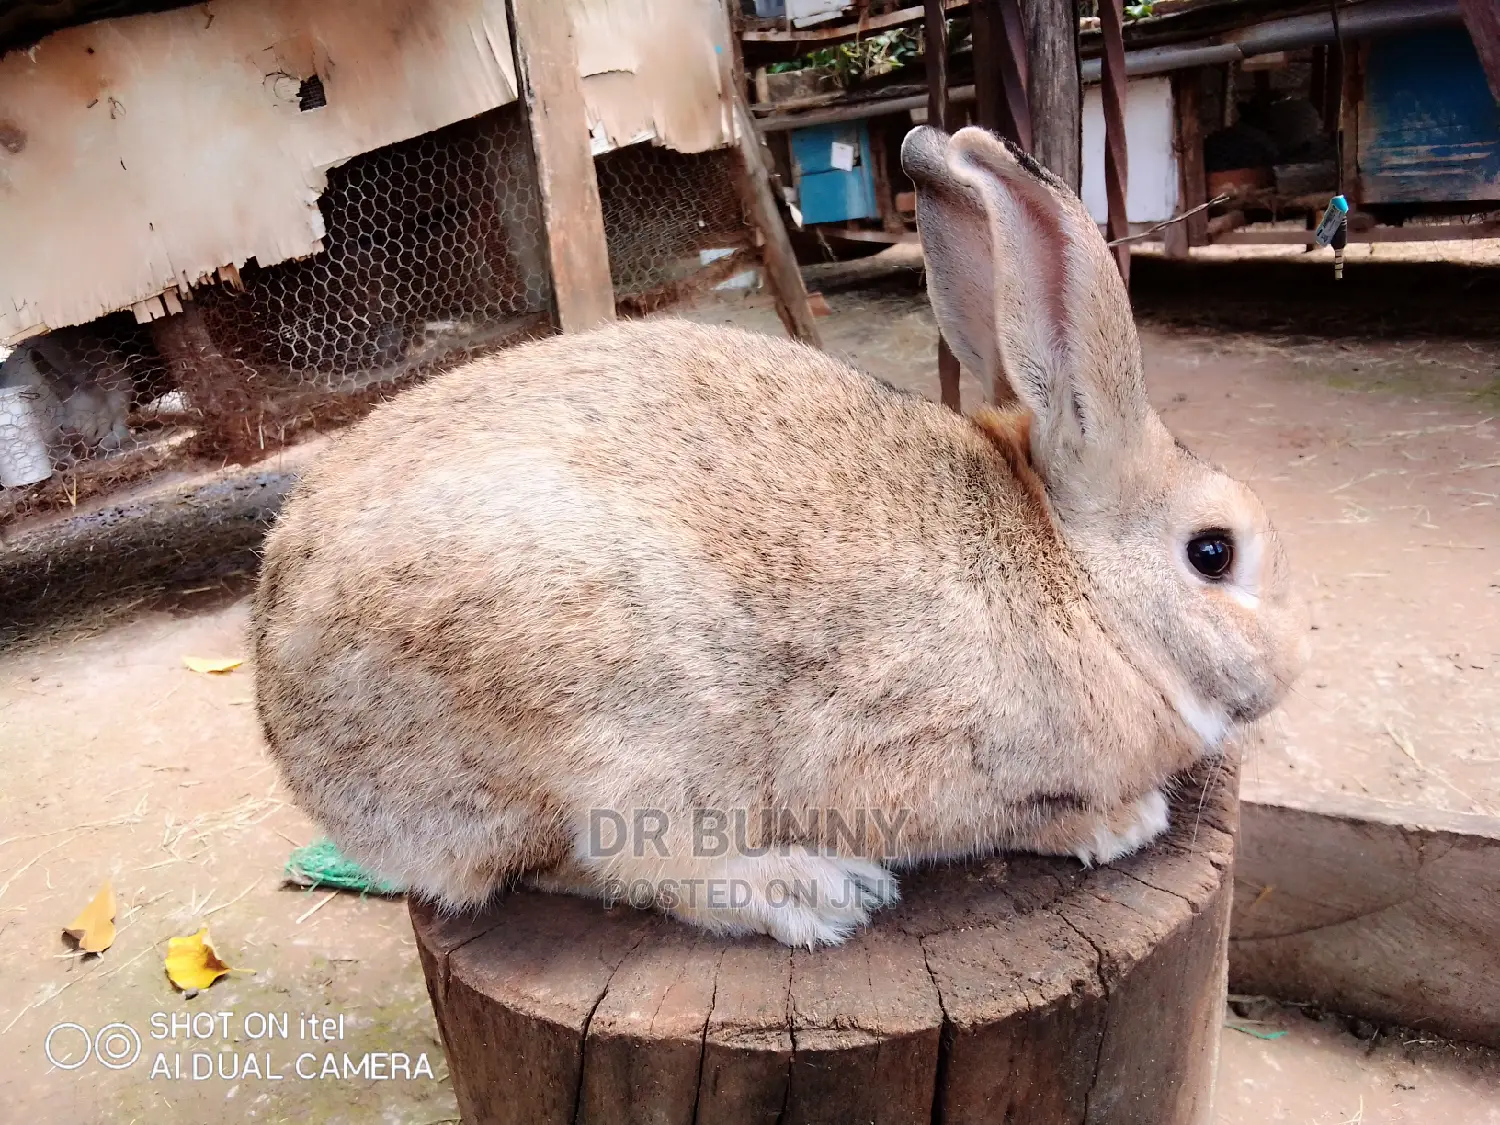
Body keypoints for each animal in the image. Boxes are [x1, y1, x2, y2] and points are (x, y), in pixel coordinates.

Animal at [252, 125, 1307, 948]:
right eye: (1213, 553)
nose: (1289, 669)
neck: (1080, 585)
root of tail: (287, 729)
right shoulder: (914, 761)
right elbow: (1006, 820)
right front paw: (1121, 822)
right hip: (609, 733)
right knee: (624, 864)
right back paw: (815, 892)